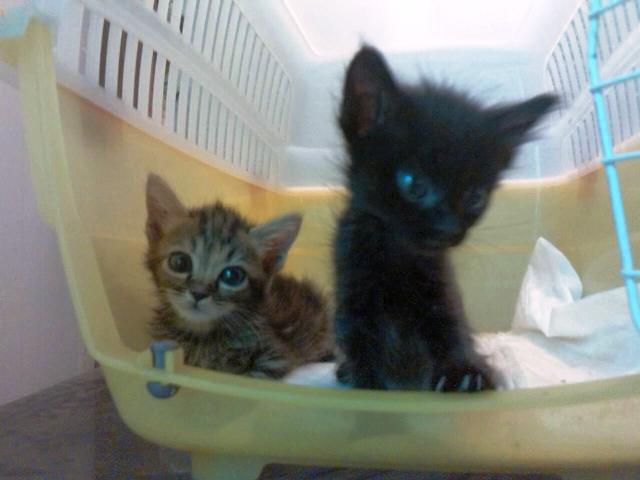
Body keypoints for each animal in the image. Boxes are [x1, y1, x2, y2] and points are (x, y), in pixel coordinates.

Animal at [333, 45, 557, 391]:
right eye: (413, 183)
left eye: (475, 197)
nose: (450, 229)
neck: (398, 256)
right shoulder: (352, 294)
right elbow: (360, 348)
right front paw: (367, 386)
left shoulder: (442, 291)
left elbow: (451, 329)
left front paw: (465, 372)